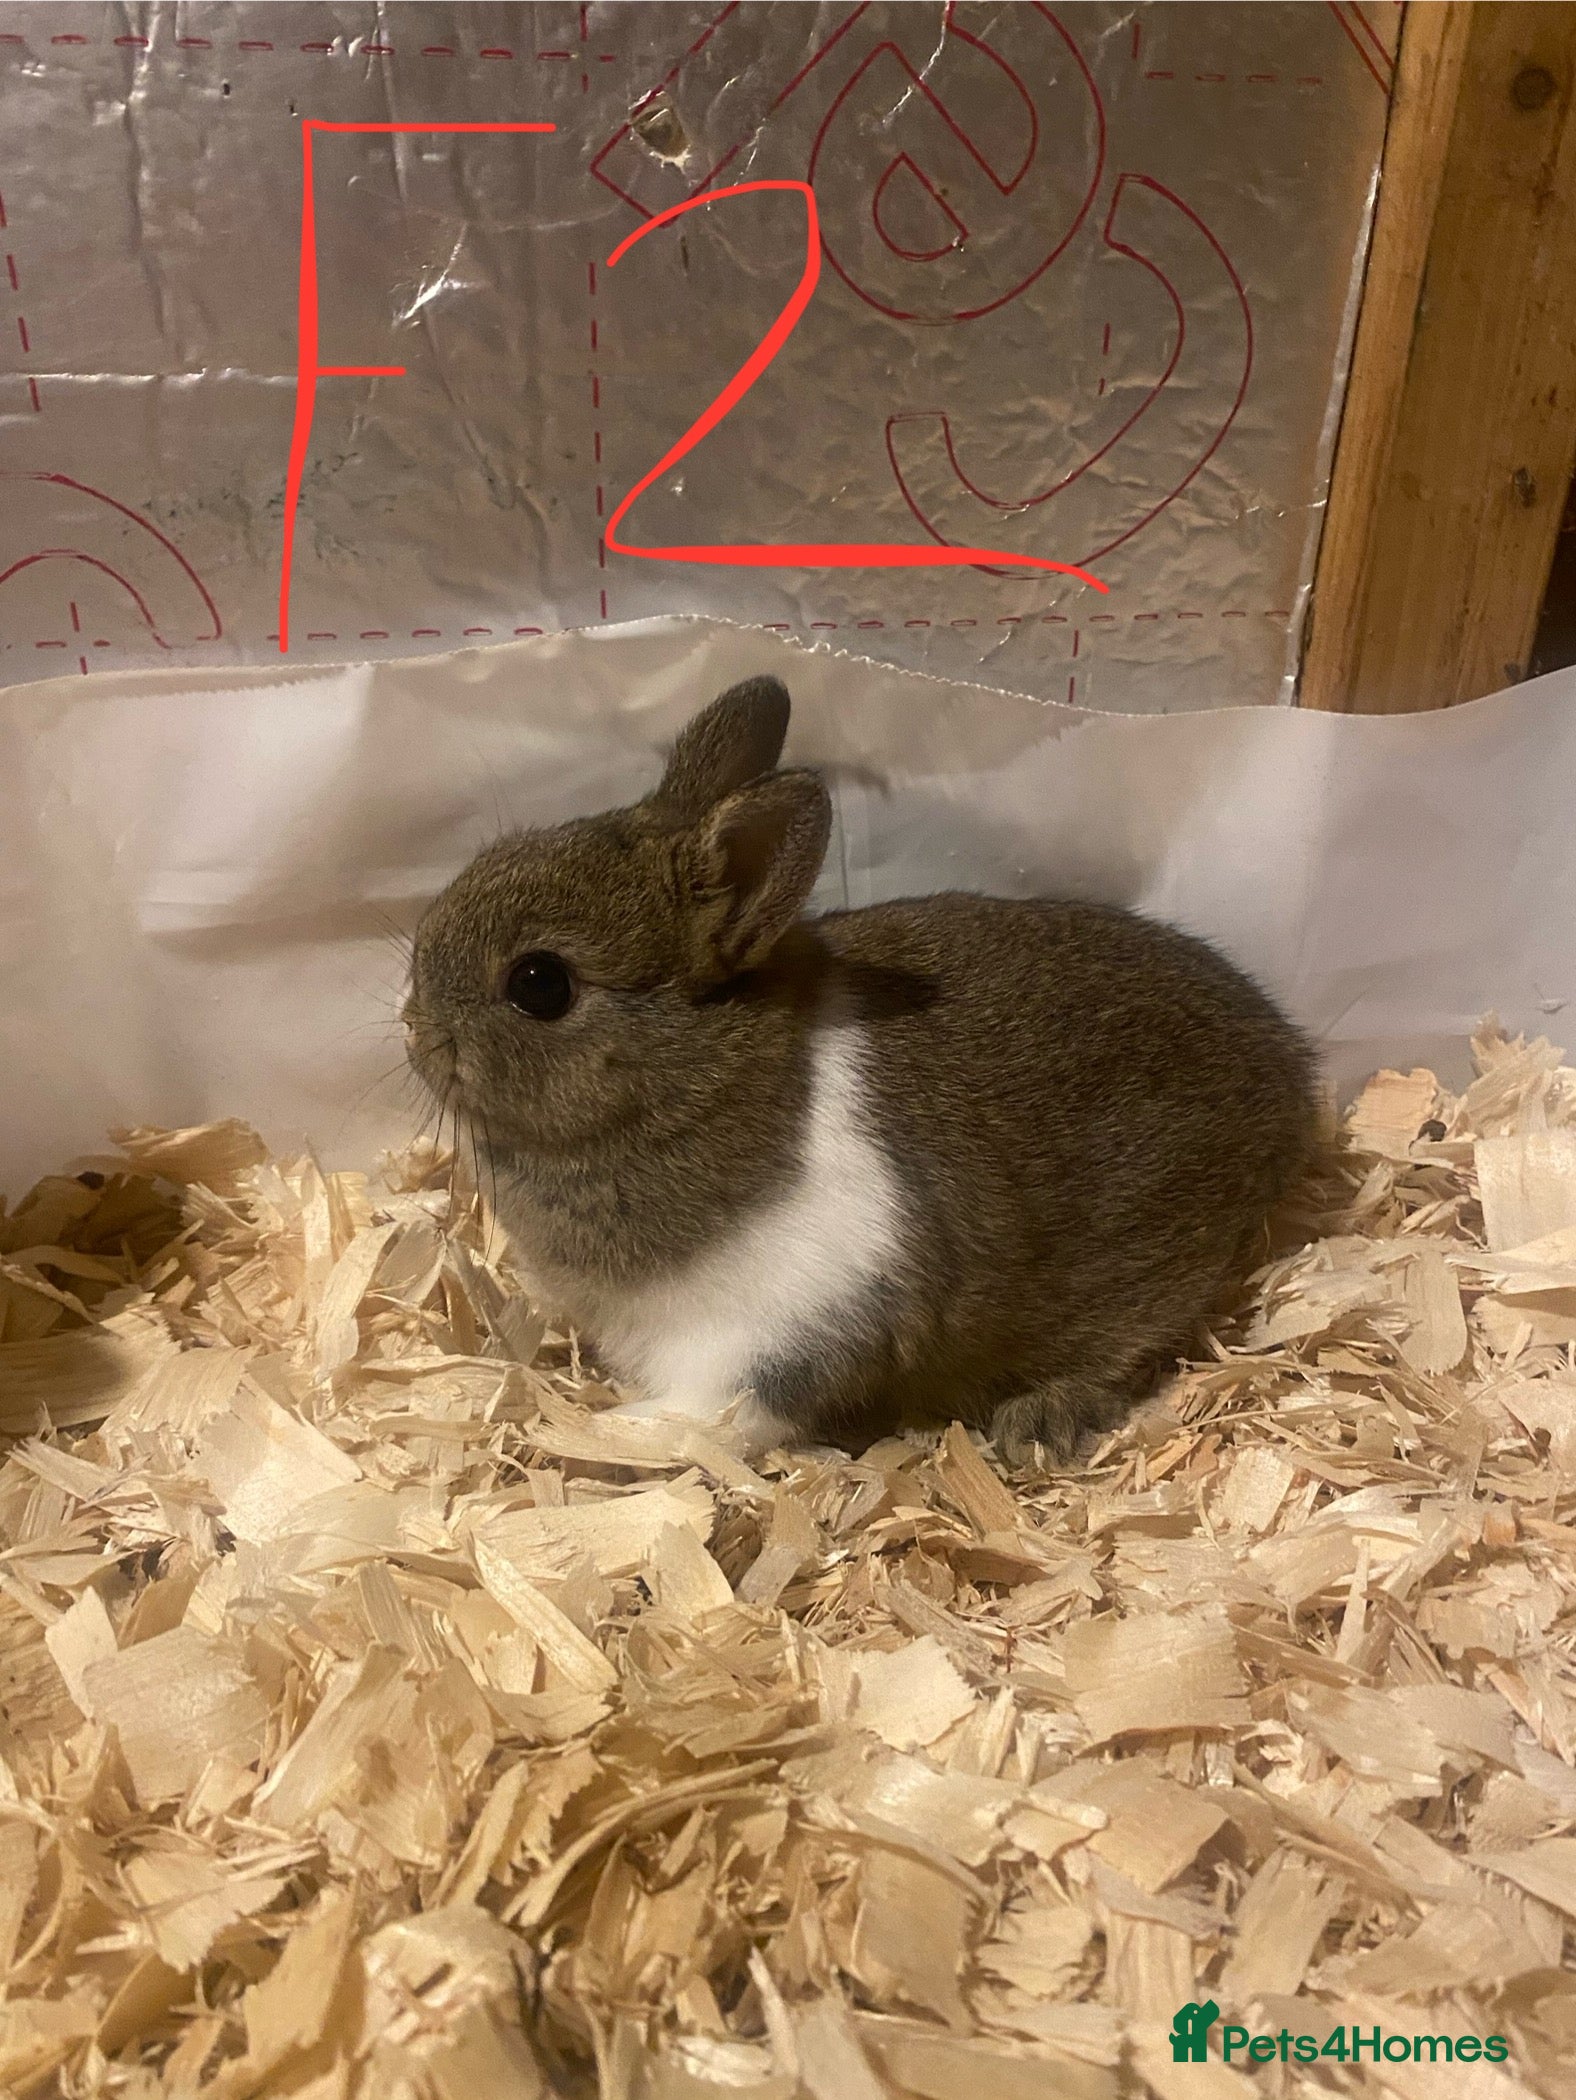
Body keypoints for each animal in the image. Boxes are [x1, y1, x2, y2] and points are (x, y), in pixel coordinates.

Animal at [404, 675, 1319, 1466]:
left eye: (540, 984)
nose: (414, 1030)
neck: (706, 1083)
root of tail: (1290, 1068)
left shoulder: (776, 1330)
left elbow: (718, 1415)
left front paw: (607, 1433)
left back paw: (1039, 1420)